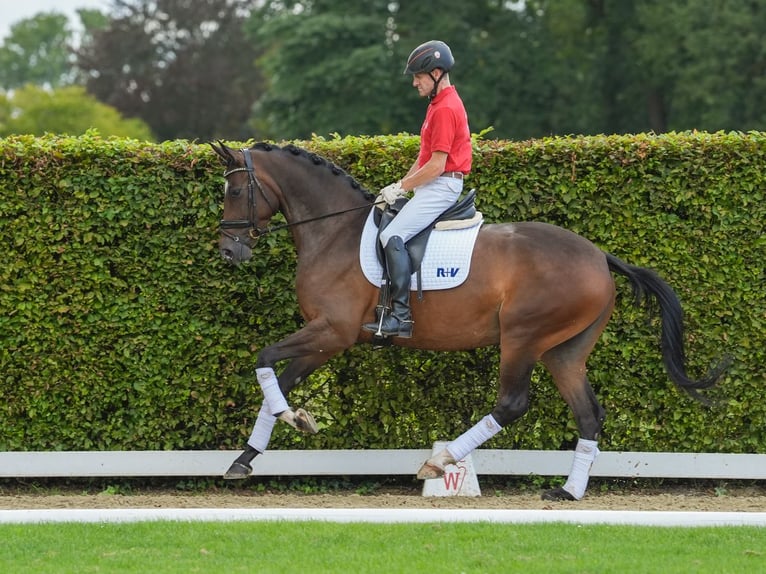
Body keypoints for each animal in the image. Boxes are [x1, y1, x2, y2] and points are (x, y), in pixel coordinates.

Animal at [212, 142, 732, 502]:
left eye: (235, 191)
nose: (229, 253)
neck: (333, 231)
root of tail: (600, 257)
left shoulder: (331, 333)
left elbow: (264, 360)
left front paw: (291, 418)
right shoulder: (325, 340)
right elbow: (276, 382)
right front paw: (250, 455)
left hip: (523, 337)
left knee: (512, 404)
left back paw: (440, 461)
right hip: (564, 351)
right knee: (588, 413)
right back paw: (568, 491)